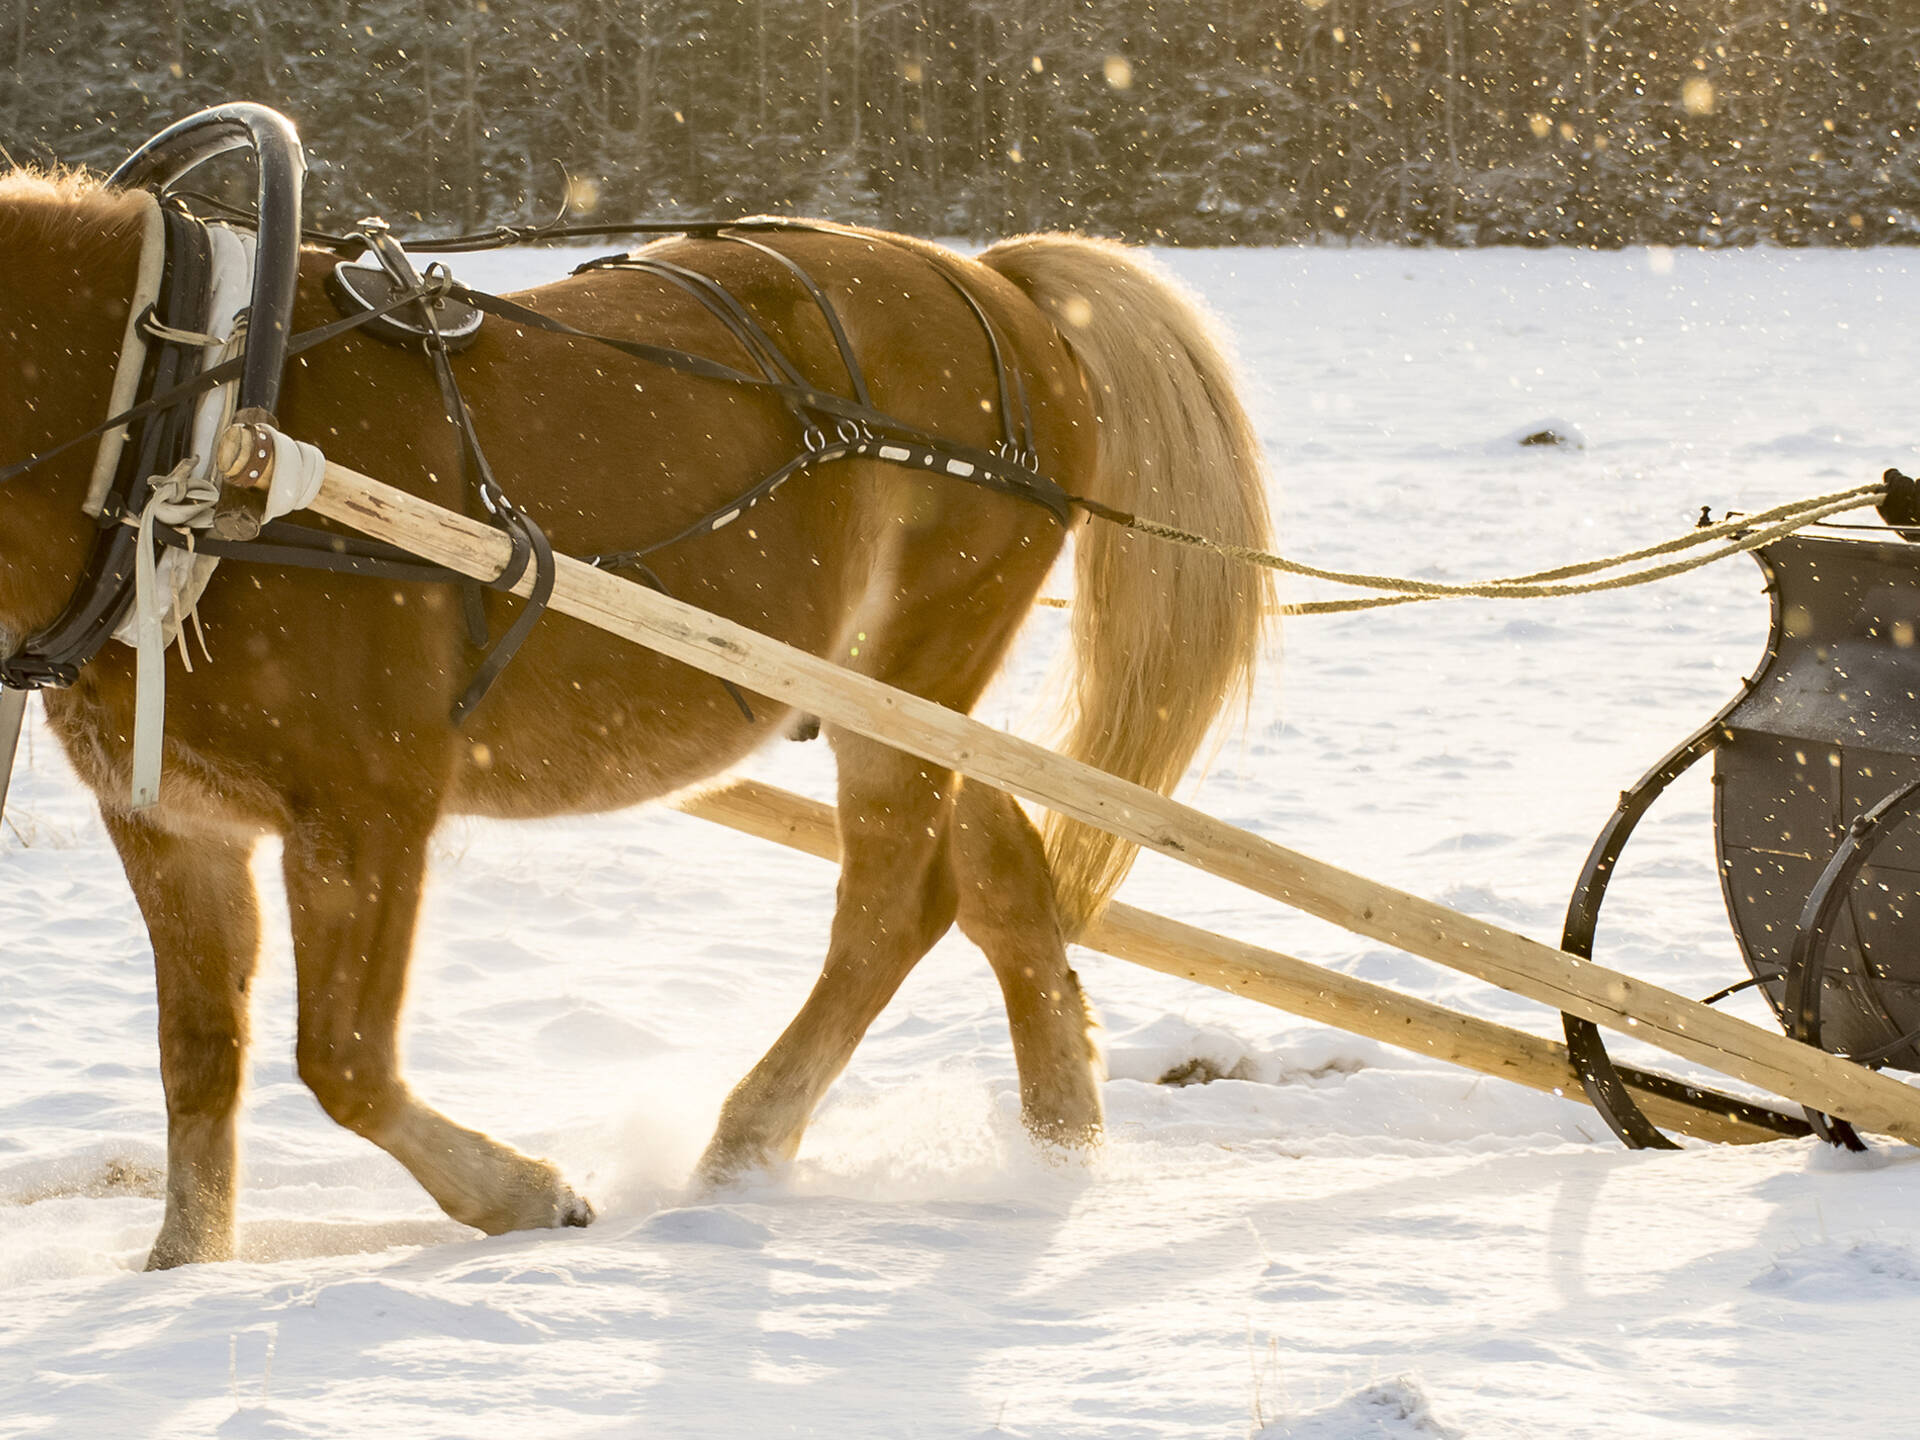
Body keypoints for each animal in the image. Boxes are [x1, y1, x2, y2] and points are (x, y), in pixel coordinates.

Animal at [0, 171, 1274, 1274]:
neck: (185, 432)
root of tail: (998, 284)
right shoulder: (170, 823)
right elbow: (199, 1062)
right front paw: (185, 1268)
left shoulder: (370, 806)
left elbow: (343, 1058)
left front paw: (525, 1195)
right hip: (908, 699)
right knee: (1005, 881)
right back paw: (1062, 1146)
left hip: (916, 660)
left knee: (895, 903)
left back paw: (748, 1144)